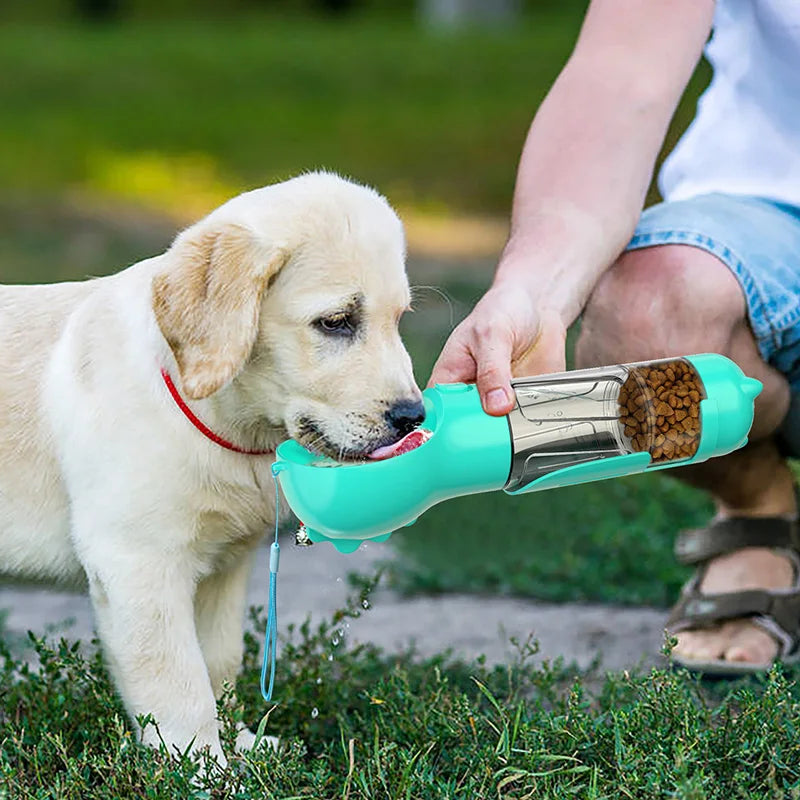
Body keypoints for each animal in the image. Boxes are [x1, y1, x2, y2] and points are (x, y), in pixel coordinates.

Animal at [0, 173, 424, 764]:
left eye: (398, 320)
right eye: (337, 322)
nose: (414, 417)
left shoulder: (224, 566)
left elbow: (218, 663)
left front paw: (240, 744)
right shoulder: (137, 562)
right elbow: (178, 682)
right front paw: (200, 767)